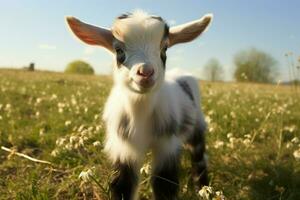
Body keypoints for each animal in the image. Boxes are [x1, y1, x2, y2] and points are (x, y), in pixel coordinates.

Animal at [67, 10, 213, 199]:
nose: (146, 72)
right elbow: (122, 186)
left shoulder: (167, 146)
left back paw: (202, 187)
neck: (141, 114)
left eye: (164, 48)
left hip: (197, 126)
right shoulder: (124, 149)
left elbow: (164, 184)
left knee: (199, 158)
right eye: (118, 50)